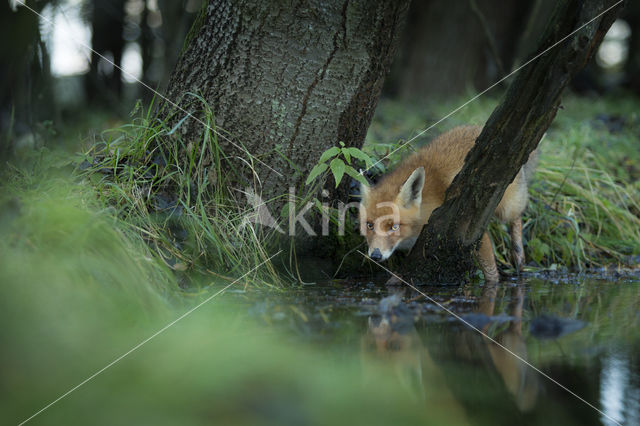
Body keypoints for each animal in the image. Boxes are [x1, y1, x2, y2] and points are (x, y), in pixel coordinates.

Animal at [360, 125, 536, 282]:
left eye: (394, 227)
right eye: (369, 225)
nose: (375, 255)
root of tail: (477, 126)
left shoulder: (473, 230)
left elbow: (491, 273)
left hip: (506, 208)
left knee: (518, 216)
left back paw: (519, 256)